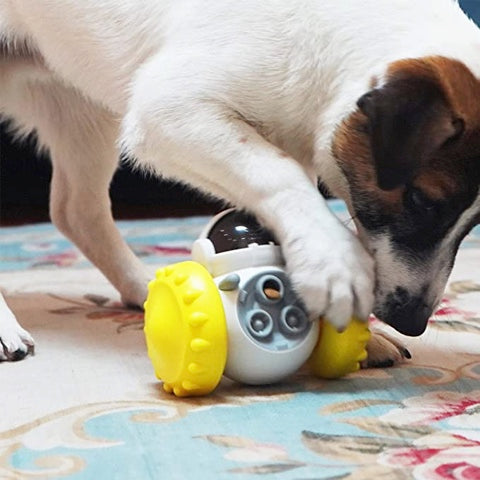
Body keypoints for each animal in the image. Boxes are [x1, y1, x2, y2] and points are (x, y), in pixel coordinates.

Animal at [0, 0, 480, 364]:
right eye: (422, 202)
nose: (413, 322)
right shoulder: (170, 112)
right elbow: (281, 176)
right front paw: (334, 262)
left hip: (80, 102)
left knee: (76, 210)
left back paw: (144, 289)